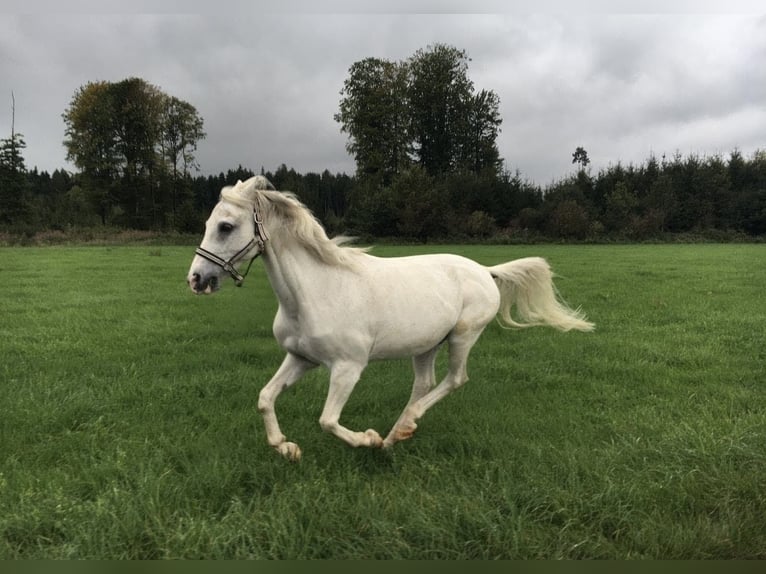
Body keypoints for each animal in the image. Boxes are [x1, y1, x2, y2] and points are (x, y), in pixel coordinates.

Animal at [187, 176, 594, 461]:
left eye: (225, 226)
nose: (196, 279)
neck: (315, 292)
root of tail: (485, 270)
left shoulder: (348, 367)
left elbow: (328, 420)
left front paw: (366, 439)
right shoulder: (301, 358)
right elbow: (265, 397)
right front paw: (287, 448)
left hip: (463, 336)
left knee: (455, 379)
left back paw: (397, 432)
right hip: (427, 344)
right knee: (425, 383)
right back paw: (397, 433)